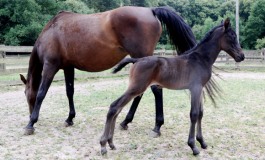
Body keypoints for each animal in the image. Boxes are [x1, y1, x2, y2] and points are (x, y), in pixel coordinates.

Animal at [19, 6, 195, 135]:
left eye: (26, 95)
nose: (29, 114)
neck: (51, 31)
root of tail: (151, 10)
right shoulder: (68, 67)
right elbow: (70, 91)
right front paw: (70, 118)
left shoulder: (50, 66)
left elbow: (41, 93)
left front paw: (31, 123)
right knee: (140, 93)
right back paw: (126, 122)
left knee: (155, 90)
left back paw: (157, 127)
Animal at [100, 18, 244, 155]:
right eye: (232, 36)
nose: (241, 56)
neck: (200, 59)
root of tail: (137, 60)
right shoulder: (195, 88)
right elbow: (194, 114)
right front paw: (193, 146)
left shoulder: (200, 89)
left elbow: (201, 114)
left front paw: (202, 142)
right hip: (136, 88)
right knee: (114, 106)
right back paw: (103, 145)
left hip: (135, 88)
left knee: (118, 108)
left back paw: (111, 143)